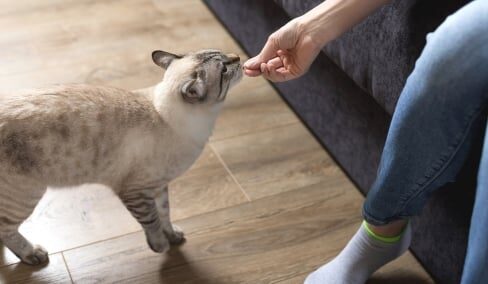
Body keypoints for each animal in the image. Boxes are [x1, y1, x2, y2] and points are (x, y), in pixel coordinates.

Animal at [0, 48, 242, 264]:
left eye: (224, 56)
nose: (238, 57)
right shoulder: (136, 191)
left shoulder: (158, 186)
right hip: (25, 195)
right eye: (224, 69)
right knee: (5, 229)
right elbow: (152, 221)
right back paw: (32, 254)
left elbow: (165, 213)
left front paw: (173, 236)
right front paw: (160, 246)